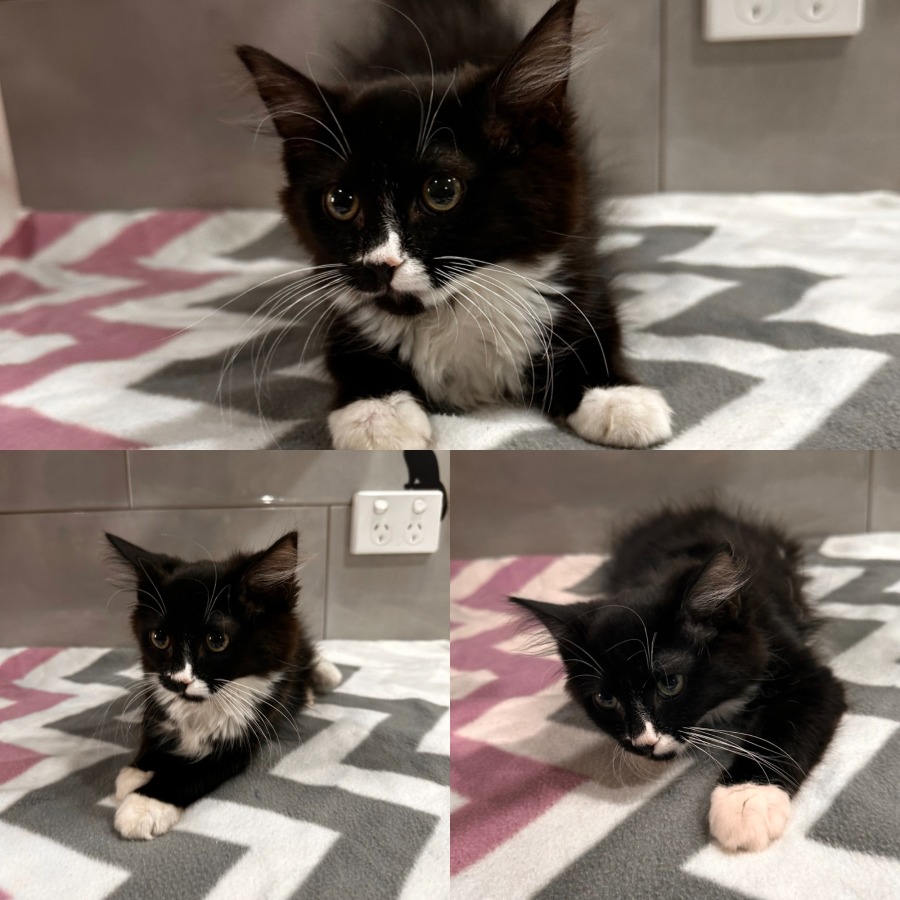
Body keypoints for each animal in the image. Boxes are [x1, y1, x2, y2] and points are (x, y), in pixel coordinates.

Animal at [105, 530, 342, 841]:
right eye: (159, 638)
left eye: (217, 641)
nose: (179, 682)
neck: (204, 706)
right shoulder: (156, 690)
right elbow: (154, 727)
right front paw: (138, 771)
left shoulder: (246, 733)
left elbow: (193, 771)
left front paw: (145, 805)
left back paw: (320, 680)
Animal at [237, 0, 673, 450]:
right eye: (341, 201)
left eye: (442, 191)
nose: (379, 265)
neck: (452, 307)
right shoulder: (334, 286)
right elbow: (347, 348)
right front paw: (377, 414)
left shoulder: (577, 254)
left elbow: (597, 323)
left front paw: (616, 397)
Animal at [511, 504, 846, 852]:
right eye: (605, 698)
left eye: (670, 684)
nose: (644, 743)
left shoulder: (802, 668)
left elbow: (787, 723)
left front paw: (745, 801)